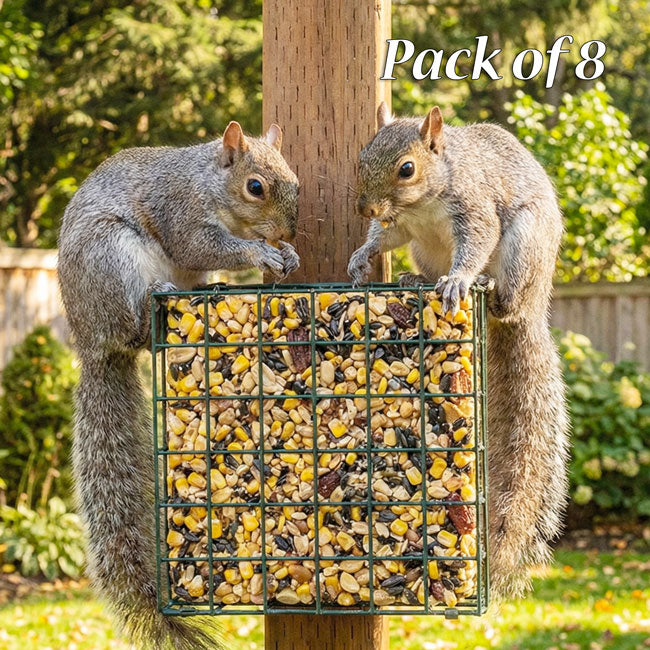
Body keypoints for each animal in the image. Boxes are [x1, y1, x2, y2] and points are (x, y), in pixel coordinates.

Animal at [57, 121, 300, 649]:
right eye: (255, 187)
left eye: (295, 180)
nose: (288, 233)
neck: (208, 182)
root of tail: (92, 344)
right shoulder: (180, 212)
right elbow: (202, 244)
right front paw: (261, 252)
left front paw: (286, 254)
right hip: (112, 259)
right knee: (135, 327)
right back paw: (157, 299)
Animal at [348, 102, 570, 599]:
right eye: (361, 157)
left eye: (406, 169)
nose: (366, 207)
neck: (422, 203)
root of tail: (536, 304)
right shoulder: (400, 227)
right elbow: (382, 238)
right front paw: (361, 255)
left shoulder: (474, 207)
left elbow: (477, 240)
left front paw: (461, 278)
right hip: (424, 250)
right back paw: (415, 279)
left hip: (525, 247)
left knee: (508, 299)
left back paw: (487, 289)